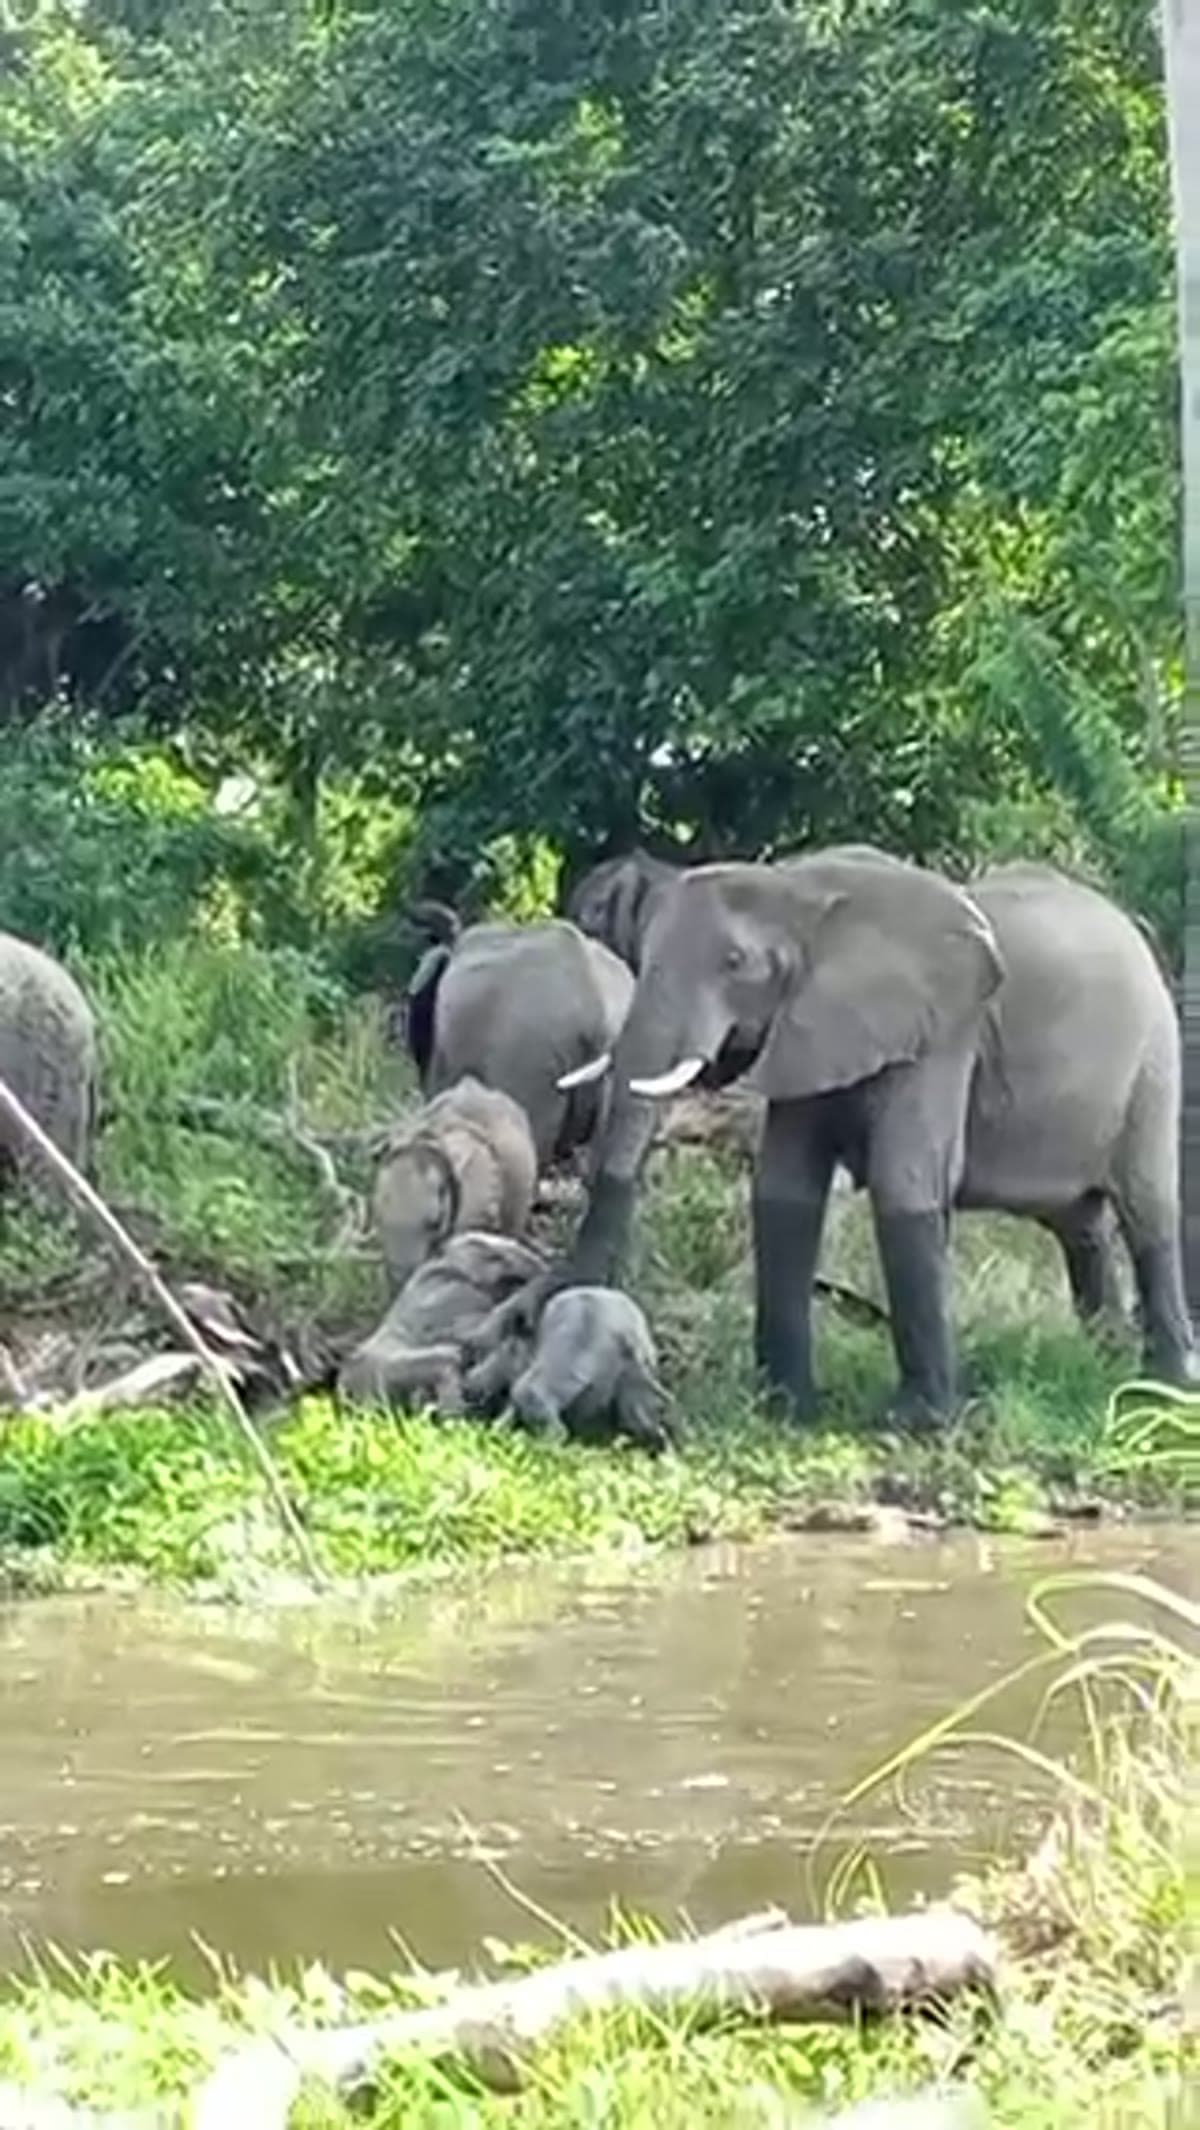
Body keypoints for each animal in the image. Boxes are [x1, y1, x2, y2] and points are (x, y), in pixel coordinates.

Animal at [337, 1231, 548, 1415]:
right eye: (492, 1257)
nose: (539, 1264)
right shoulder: (454, 1296)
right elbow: (476, 1330)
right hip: (393, 1369)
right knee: (446, 1360)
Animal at [556, 847, 1194, 1427]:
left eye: (735, 962)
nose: (573, 1301)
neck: (799, 888)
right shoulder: (808, 1031)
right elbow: (784, 1190)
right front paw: (787, 1410)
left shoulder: (941, 1036)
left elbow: (905, 1185)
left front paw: (914, 1424)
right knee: (1080, 1225)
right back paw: (1105, 1358)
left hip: (1154, 1061)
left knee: (1146, 1212)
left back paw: (1162, 1390)